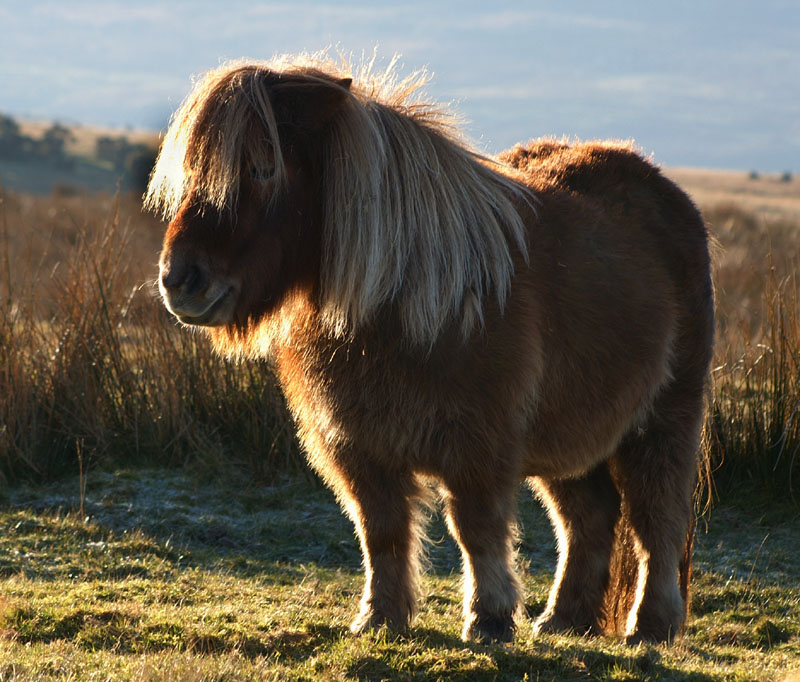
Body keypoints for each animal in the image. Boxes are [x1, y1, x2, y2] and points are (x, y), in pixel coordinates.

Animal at [147, 54, 716, 644]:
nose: (180, 280)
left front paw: (489, 620)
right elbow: (381, 532)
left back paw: (650, 625)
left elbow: (476, 530)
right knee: (589, 518)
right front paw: (380, 618)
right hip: (573, 432)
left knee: (657, 518)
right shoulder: (359, 448)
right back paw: (563, 619)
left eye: (262, 169)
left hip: (665, 418)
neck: (409, 297)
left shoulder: (479, 446)